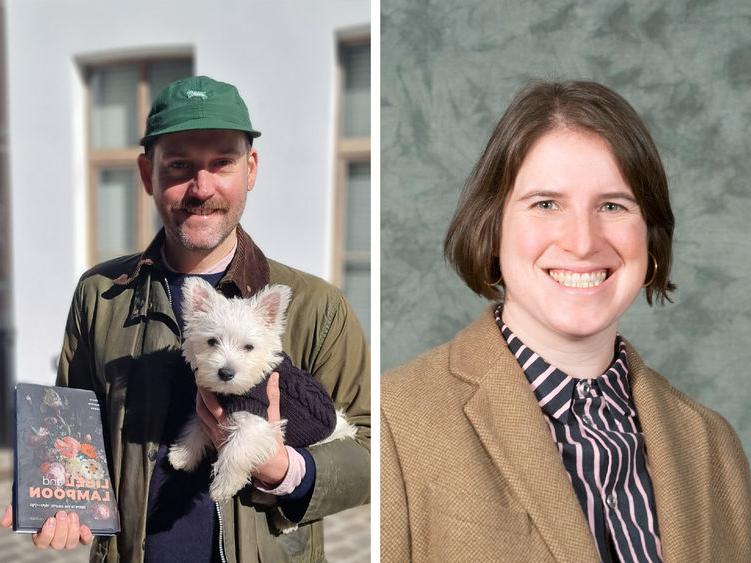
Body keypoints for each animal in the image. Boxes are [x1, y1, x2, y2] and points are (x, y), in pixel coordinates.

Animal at [167, 278, 356, 502]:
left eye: (249, 347)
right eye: (212, 341)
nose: (225, 373)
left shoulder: (257, 419)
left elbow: (236, 450)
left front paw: (224, 486)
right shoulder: (209, 408)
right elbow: (195, 425)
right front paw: (182, 455)